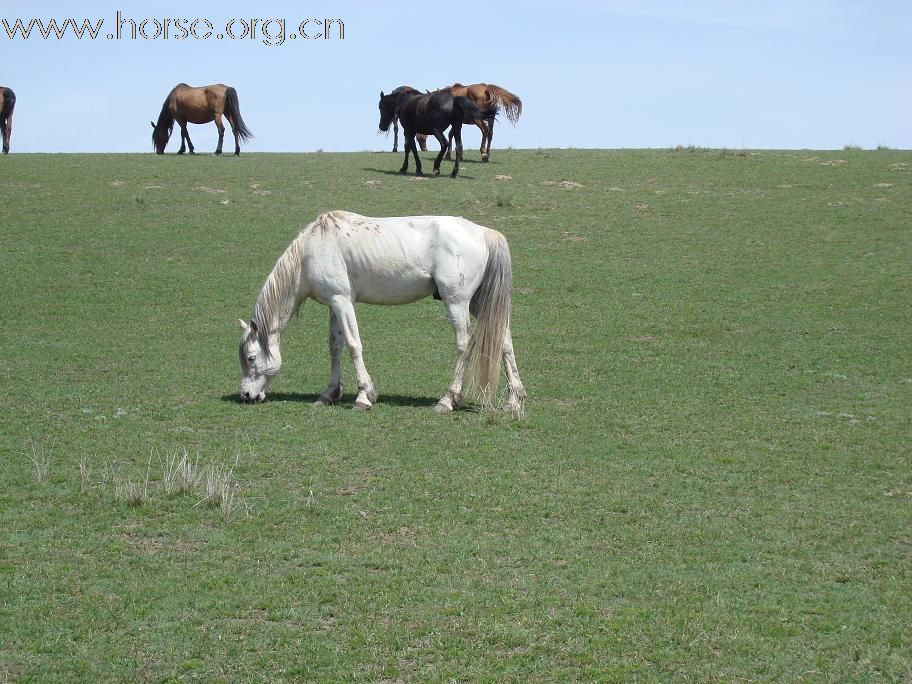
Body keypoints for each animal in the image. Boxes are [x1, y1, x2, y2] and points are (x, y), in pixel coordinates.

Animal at [239, 210, 528, 416]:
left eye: (251, 358)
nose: (245, 396)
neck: (312, 250)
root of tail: (484, 233)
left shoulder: (343, 301)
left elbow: (353, 345)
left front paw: (364, 396)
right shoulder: (334, 304)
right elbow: (335, 346)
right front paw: (329, 393)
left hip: (457, 302)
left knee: (464, 344)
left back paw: (448, 400)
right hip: (479, 303)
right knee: (504, 341)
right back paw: (514, 400)